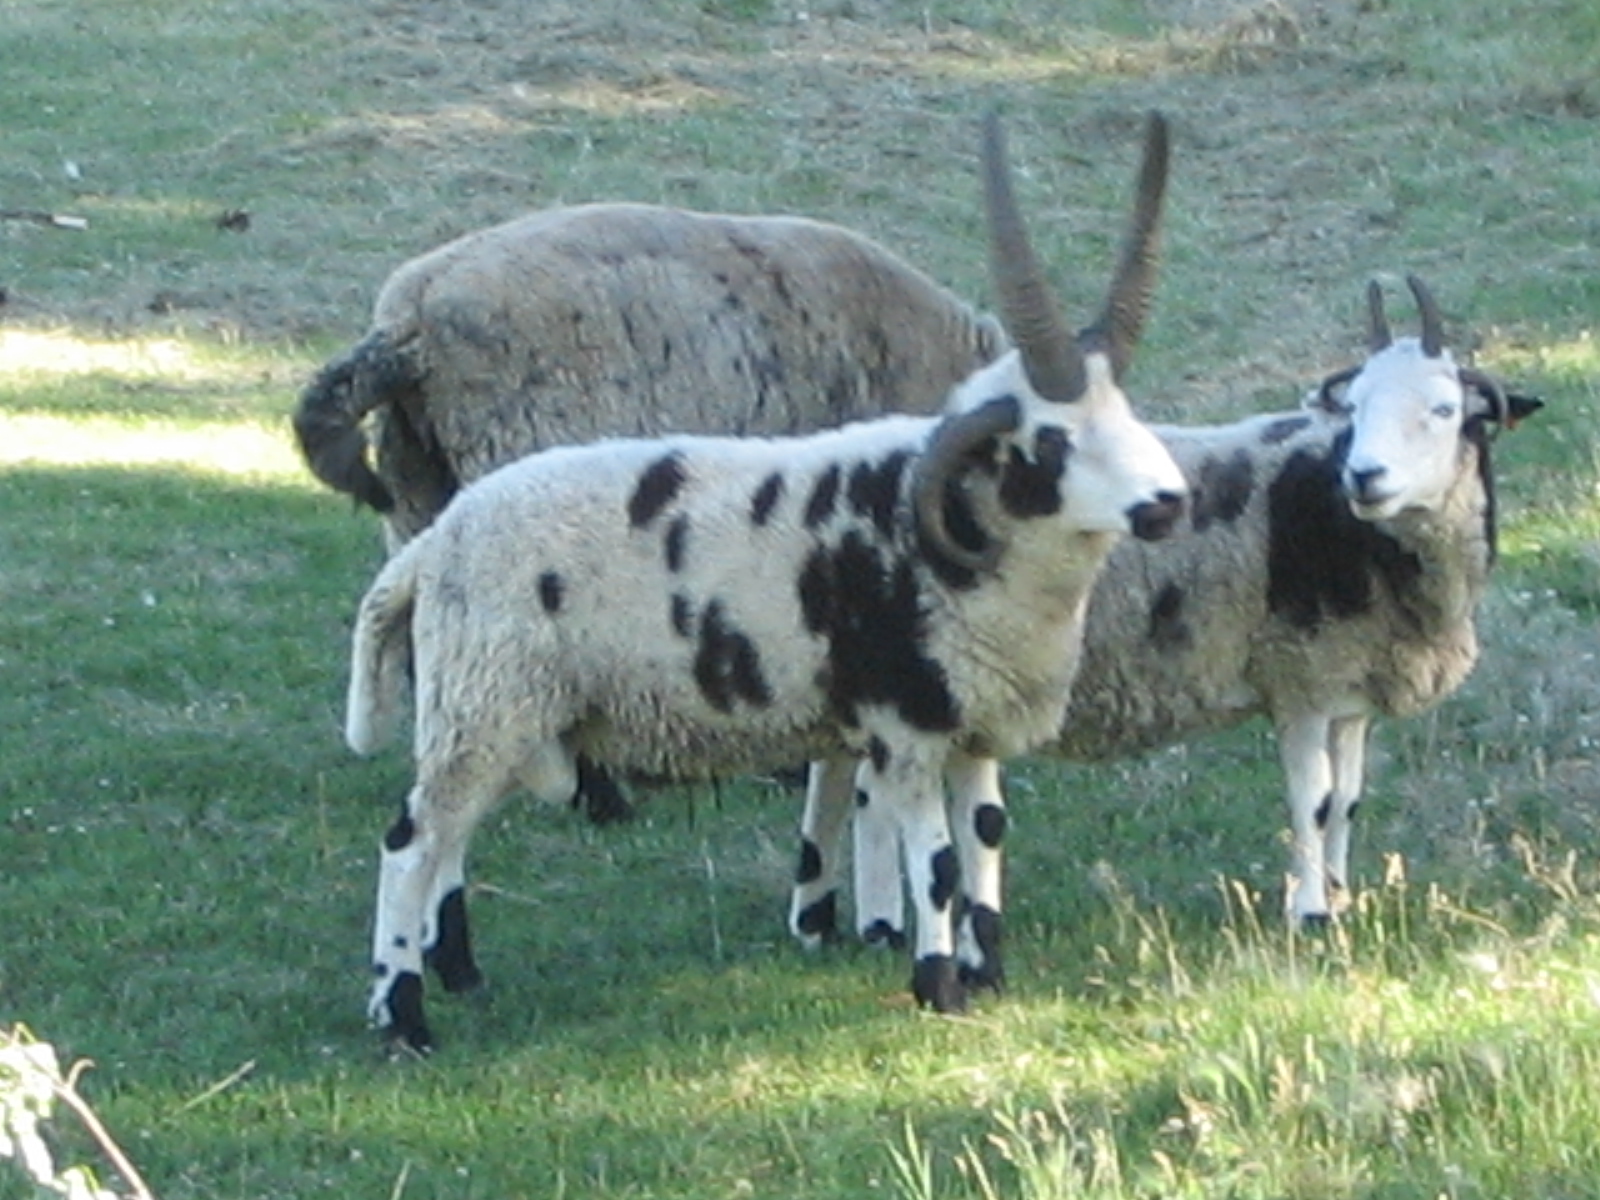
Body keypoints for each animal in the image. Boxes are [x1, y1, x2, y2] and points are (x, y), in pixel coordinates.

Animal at [342, 113, 1189, 1051]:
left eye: (1125, 415)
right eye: (1049, 439)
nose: (1169, 503)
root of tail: (431, 549)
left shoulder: (975, 727)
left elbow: (985, 839)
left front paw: (986, 972)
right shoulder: (904, 725)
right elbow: (933, 862)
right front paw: (937, 985)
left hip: (490, 709)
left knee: (447, 838)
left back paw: (459, 972)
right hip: (486, 700)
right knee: (411, 843)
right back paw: (403, 1014)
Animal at [788, 274, 1542, 990]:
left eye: (1443, 411)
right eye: (1353, 410)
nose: (1366, 475)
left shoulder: (1348, 687)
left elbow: (1348, 803)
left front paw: (1337, 895)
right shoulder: (1299, 676)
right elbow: (1316, 800)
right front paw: (1310, 914)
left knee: (850, 773)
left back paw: (838, 918)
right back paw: (871, 920)